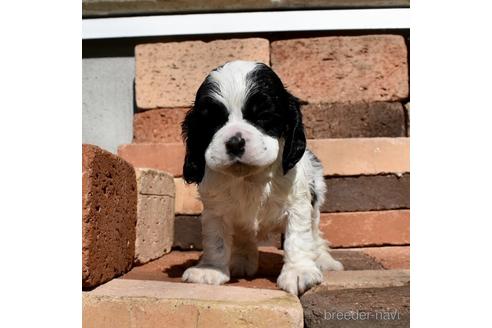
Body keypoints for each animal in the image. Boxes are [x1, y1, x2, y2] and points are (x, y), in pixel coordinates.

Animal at [181, 59, 342, 294]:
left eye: (263, 116)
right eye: (212, 122)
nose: (235, 142)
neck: (250, 178)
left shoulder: (298, 204)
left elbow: (298, 237)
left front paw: (299, 271)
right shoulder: (216, 210)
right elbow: (216, 239)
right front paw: (210, 270)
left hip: (316, 201)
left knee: (314, 233)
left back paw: (323, 259)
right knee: (243, 236)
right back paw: (241, 259)